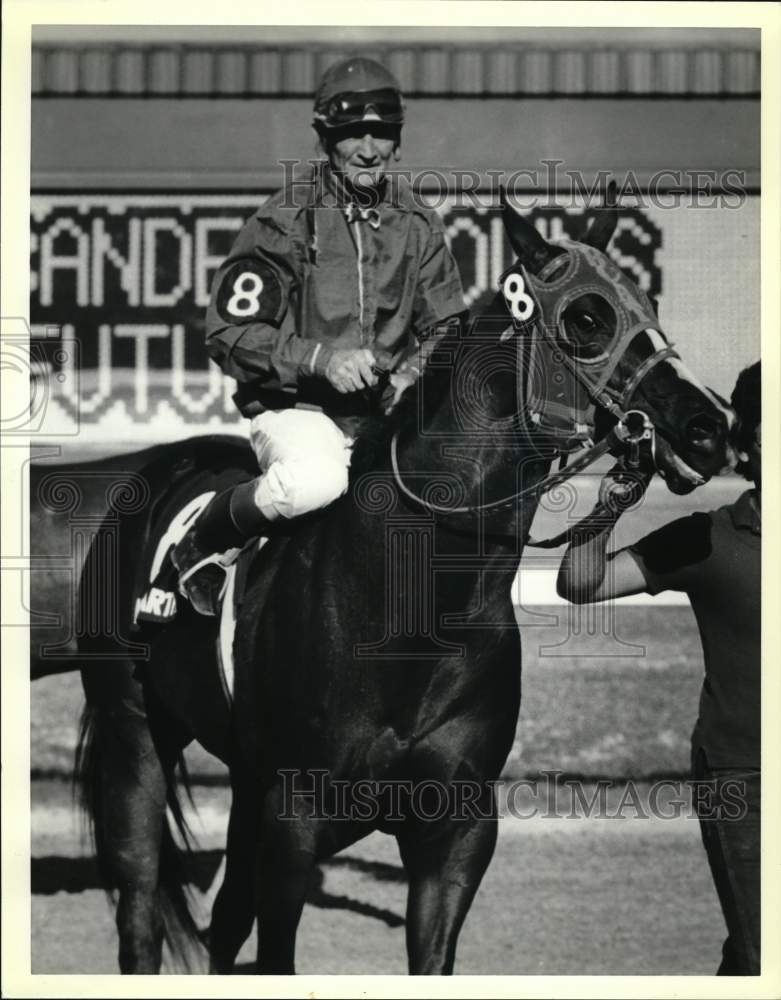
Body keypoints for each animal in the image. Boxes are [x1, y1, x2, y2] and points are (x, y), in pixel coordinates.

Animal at [62, 199, 732, 972]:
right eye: (587, 317)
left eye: (650, 303)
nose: (709, 427)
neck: (413, 608)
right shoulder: (295, 819)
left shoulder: (457, 830)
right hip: (135, 731)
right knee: (140, 906)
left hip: (243, 776)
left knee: (223, 919)